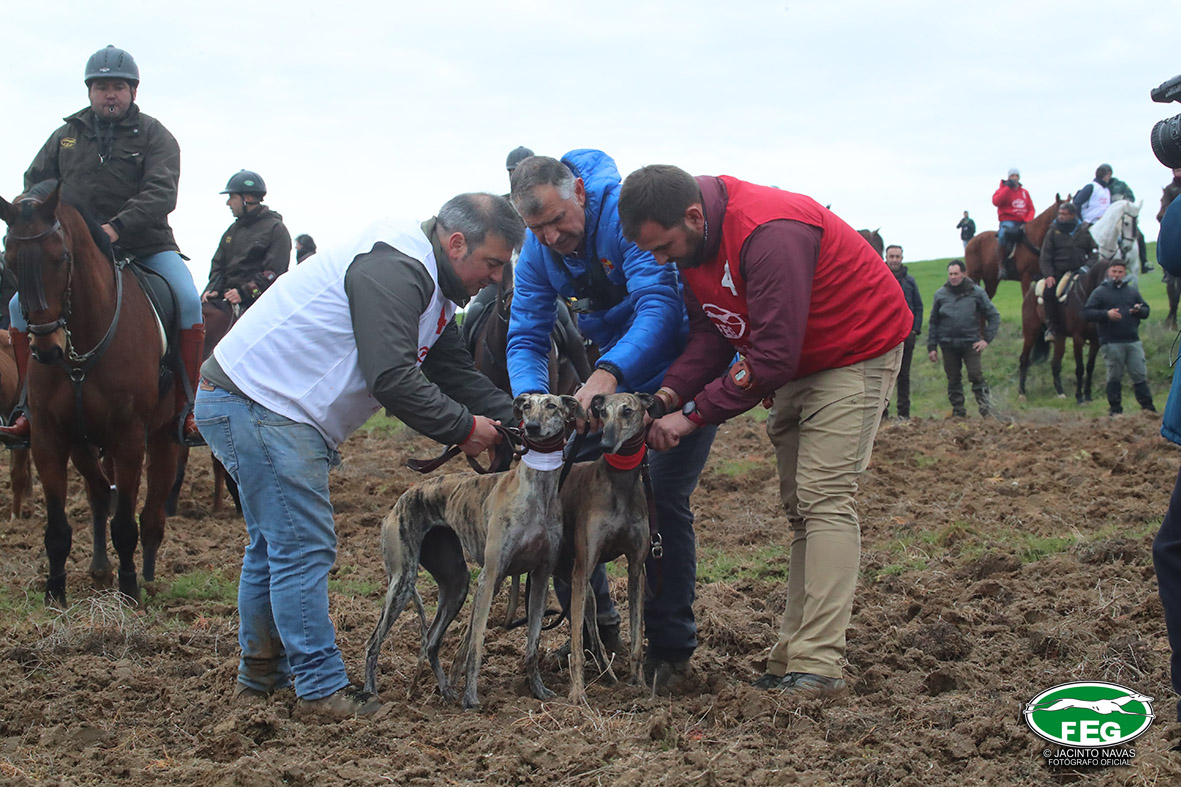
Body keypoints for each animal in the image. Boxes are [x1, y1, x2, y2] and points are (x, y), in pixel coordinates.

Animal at [0, 182, 179, 604]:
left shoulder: (128, 438)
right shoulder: (49, 438)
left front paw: (129, 592)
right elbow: (57, 528)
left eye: (61, 257)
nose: (46, 350)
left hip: (163, 435)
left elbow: (125, 523)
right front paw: (55, 594)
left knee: (152, 509)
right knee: (98, 491)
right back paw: (99, 568)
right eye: (9, 260)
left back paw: (147, 576)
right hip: (83, 442)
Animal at [363, 392, 581, 709]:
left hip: (456, 583)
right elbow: (475, 644)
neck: (536, 491)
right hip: (403, 580)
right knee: (373, 641)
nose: (531, 428)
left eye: (552, 405)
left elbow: (533, 644)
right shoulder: (490, 577)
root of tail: (400, 499)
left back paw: (445, 691)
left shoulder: (540, 577)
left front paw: (539, 691)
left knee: (430, 642)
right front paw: (472, 698)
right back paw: (371, 693)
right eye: (527, 406)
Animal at [560, 392, 654, 703]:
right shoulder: (582, 568)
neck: (620, 484)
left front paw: (640, 685)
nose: (605, 443)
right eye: (602, 412)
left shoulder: (636, 569)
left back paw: (610, 677)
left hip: (582, 588)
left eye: (628, 411)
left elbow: (637, 639)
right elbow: (577, 647)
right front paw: (577, 694)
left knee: (596, 636)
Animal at [1018, 259, 1106, 404]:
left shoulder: (1095, 340)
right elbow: (1080, 368)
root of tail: (1031, 291)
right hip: (1031, 333)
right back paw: (1021, 393)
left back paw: (1060, 393)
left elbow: (1090, 367)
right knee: (1024, 359)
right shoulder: (1078, 338)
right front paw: (1079, 398)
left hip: (1060, 337)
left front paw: (1088, 396)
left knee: (1055, 364)